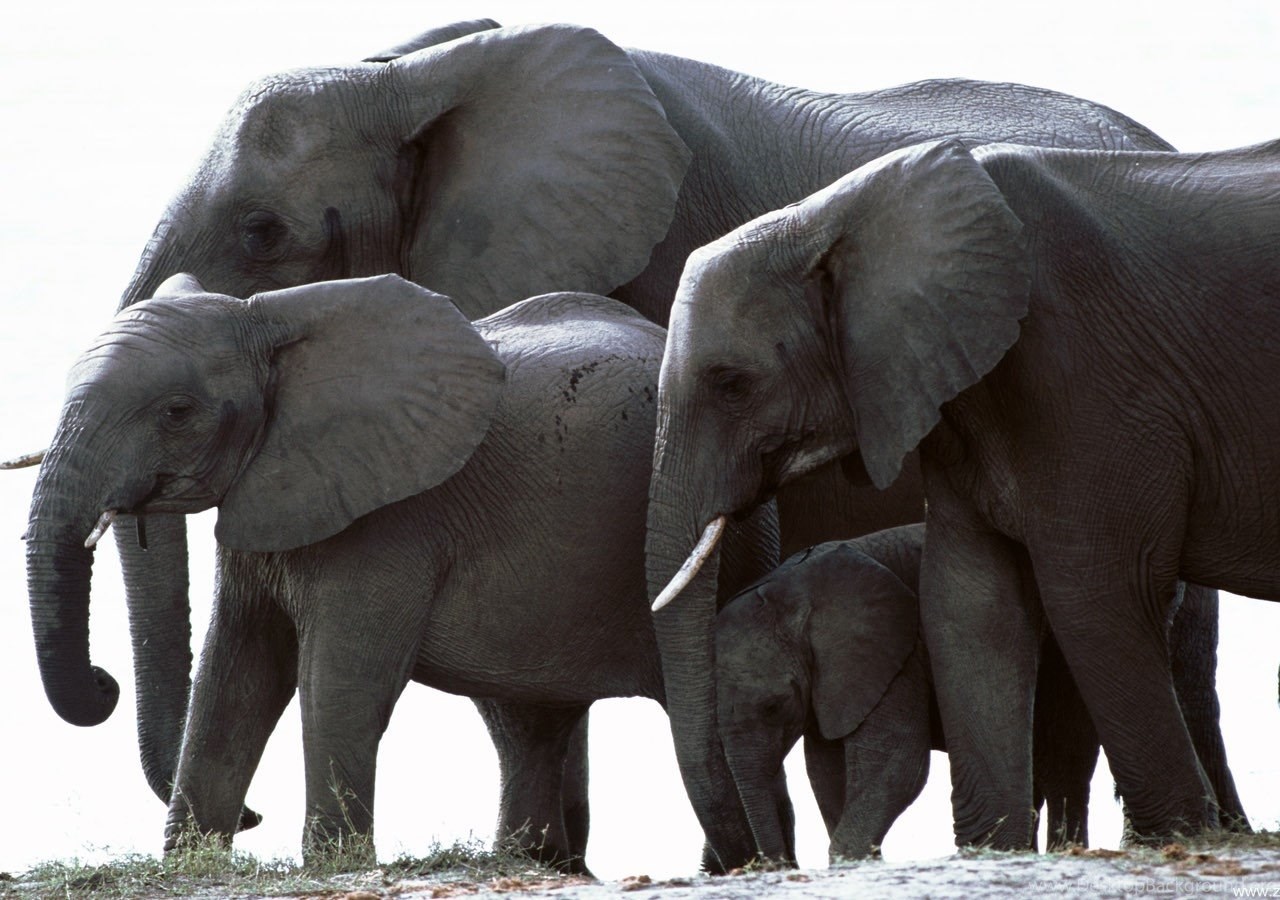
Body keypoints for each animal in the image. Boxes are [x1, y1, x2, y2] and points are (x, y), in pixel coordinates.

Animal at [24, 272, 773, 865]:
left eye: (177, 412)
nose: (104, 682)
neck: (268, 318)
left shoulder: (388, 519)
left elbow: (339, 680)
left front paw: (332, 866)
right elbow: (235, 674)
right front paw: (192, 865)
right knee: (529, 722)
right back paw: (529, 863)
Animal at [716, 524, 1105, 860]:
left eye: (774, 706)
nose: (778, 863)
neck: (791, 592)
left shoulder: (895, 652)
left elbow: (900, 763)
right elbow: (826, 772)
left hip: (1064, 654)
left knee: (1064, 762)